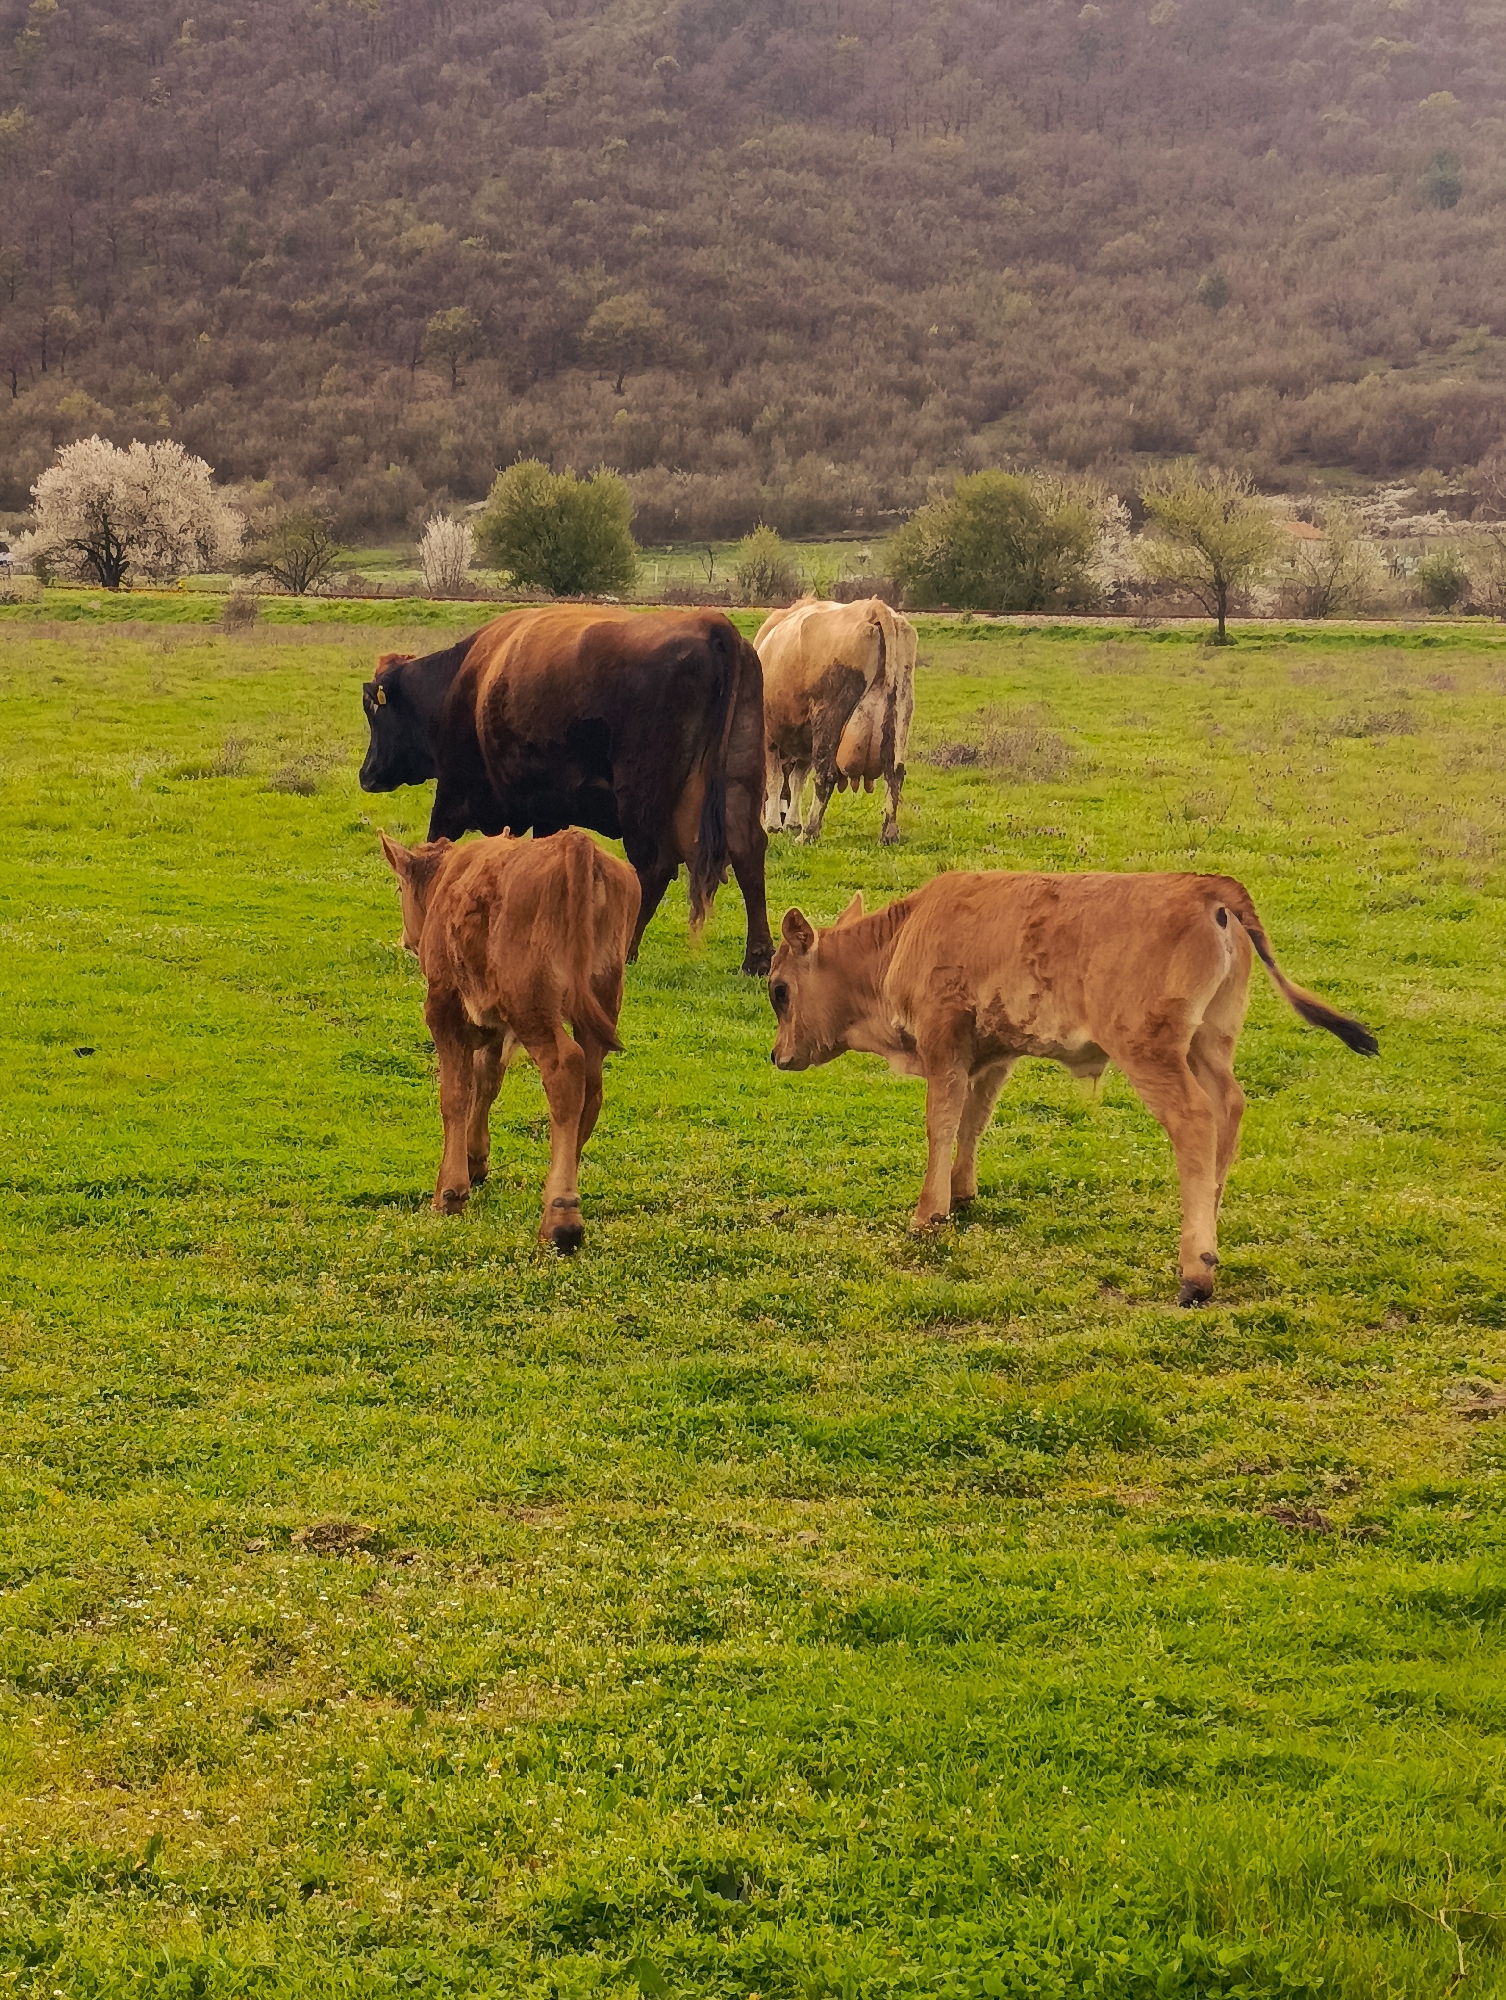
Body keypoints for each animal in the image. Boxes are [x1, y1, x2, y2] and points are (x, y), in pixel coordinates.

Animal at [359, 606, 772, 975]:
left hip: (641, 796)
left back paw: (625, 950)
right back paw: (756, 959)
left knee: (654, 868)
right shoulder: (547, 808)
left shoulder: (457, 791)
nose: (366, 775)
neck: (465, 678)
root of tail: (710, 624)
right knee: (748, 851)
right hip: (737, 781)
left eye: (374, 712)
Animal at [379, 826, 640, 1250]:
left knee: (565, 1069)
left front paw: (450, 1192)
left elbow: (455, 1093)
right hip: (600, 999)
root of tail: (574, 843)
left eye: (401, 887)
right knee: (591, 1085)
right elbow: (486, 1081)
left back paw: (561, 1217)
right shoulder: (496, 1026)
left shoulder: (444, 1008)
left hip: (531, 1007)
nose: (406, 939)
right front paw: (475, 1160)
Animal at [756, 597, 917, 845]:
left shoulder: (769, 735)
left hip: (829, 713)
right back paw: (889, 833)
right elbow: (796, 779)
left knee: (826, 774)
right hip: (901, 707)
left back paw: (808, 834)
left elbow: (775, 779)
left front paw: (774, 825)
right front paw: (790, 822)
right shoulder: (802, 745)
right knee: (895, 773)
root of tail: (873, 607)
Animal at [767, 871, 1377, 1305]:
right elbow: (971, 1121)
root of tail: (1207, 887)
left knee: (1195, 1120)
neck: (904, 934)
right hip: (1208, 1044)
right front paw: (961, 1195)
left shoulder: (944, 1043)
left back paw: (1195, 1271)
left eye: (779, 990)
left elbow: (940, 1122)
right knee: (1229, 1108)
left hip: (1152, 1054)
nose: (777, 1056)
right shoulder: (992, 1054)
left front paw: (927, 1216)